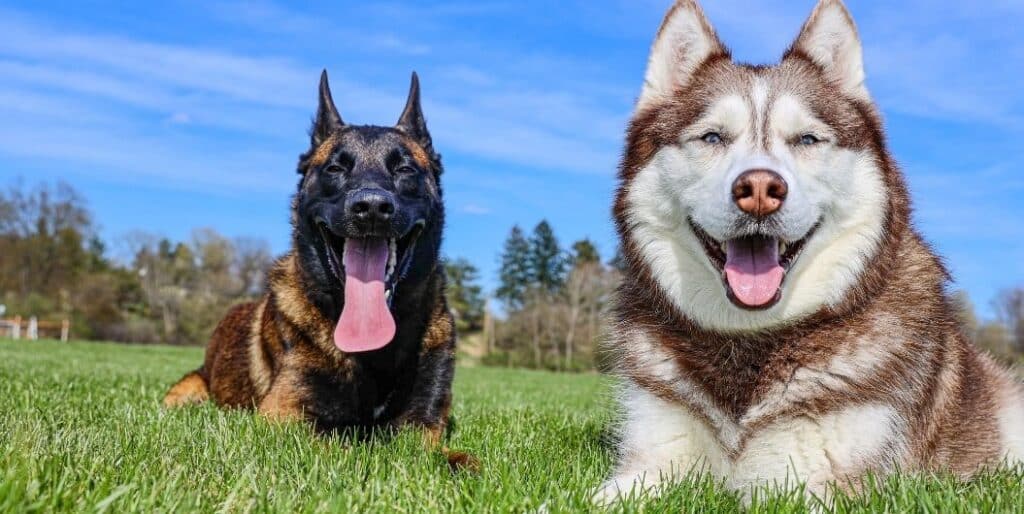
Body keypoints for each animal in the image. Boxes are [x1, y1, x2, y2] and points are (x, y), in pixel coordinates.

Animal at [165, 72, 473, 468]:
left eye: (404, 169)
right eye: (335, 169)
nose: (371, 208)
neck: (371, 351)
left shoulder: (422, 421)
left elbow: (429, 453)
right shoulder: (284, 416)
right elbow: (353, 449)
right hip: (186, 393)